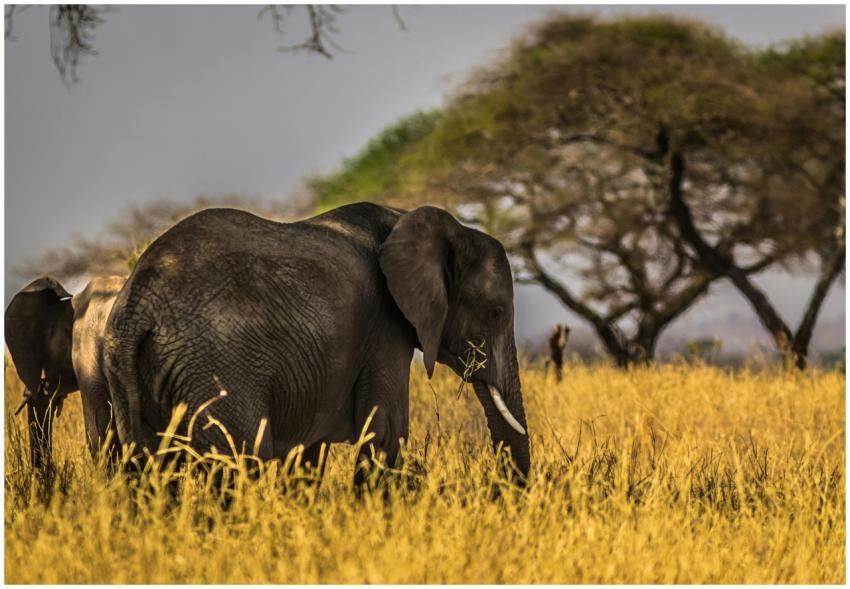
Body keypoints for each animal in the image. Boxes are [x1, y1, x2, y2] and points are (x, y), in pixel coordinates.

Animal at [103, 202, 530, 485]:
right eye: (496, 312)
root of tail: (138, 303)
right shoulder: (385, 327)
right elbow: (386, 431)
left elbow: (308, 451)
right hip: (214, 367)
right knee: (242, 462)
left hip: (131, 376)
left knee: (147, 468)